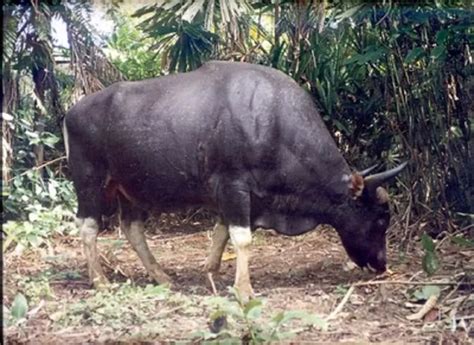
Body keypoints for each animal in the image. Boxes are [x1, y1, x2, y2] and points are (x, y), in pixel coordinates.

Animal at [63, 61, 406, 298]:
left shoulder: (246, 196)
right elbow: (241, 238)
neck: (273, 124)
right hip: (91, 184)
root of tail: (71, 113)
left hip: (130, 189)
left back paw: (161, 276)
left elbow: (221, 231)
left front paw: (211, 270)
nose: (381, 264)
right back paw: (99, 280)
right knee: (88, 226)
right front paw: (244, 289)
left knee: (132, 228)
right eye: (380, 219)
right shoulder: (234, 187)